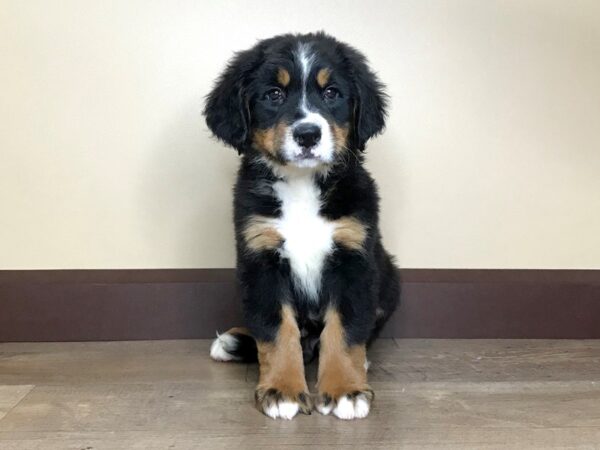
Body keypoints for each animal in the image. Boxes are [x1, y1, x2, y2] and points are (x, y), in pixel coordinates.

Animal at [205, 32, 398, 422]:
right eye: (274, 94)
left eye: (332, 93)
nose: (308, 134)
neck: (302, 184)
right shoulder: (261, 260)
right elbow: (277, 330)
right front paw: (282, 390)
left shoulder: (354, 258)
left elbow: (345, 330)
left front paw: (345, 389)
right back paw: (235, 341)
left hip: (389, 277)